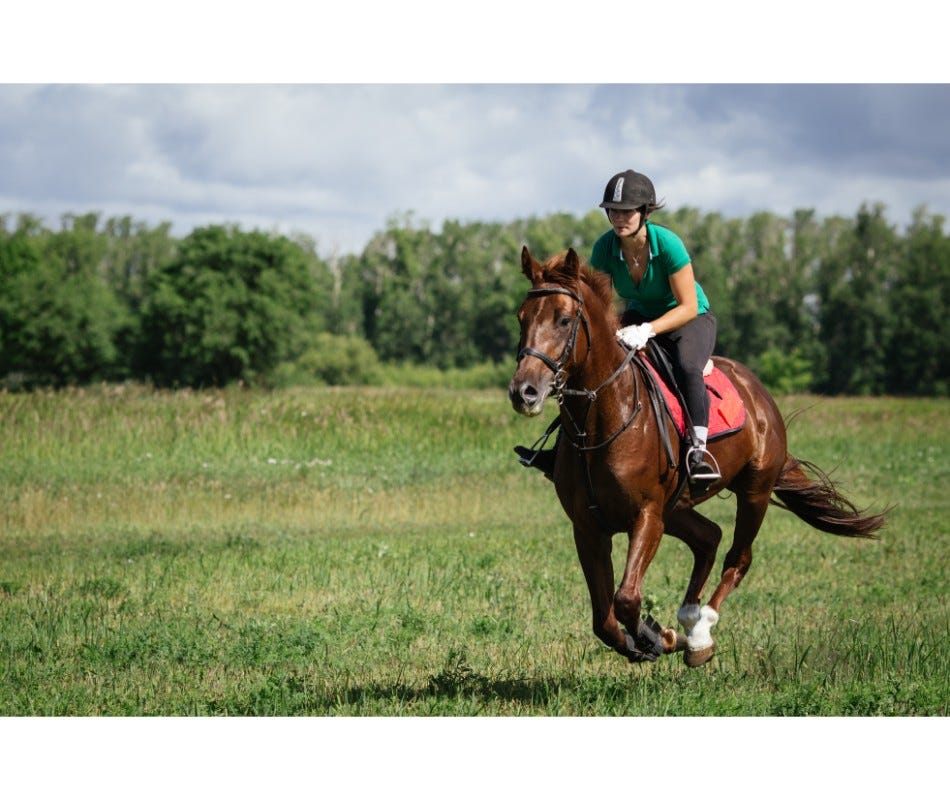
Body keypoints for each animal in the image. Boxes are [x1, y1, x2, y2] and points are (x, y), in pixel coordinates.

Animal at [510, 247, 888, 664]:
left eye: (564, 320)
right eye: (521, 318)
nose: (524, 392)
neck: (602, 420)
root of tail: (758, 393)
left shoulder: (647, 517)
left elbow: (626, 599)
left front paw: (656, 637)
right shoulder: (588, 527)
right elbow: (604, 620)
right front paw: (654, 638)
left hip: (753, 492)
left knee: (738, 559)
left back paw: (701, 634)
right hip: (677, 507)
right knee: (709, 537)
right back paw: (689, 623)